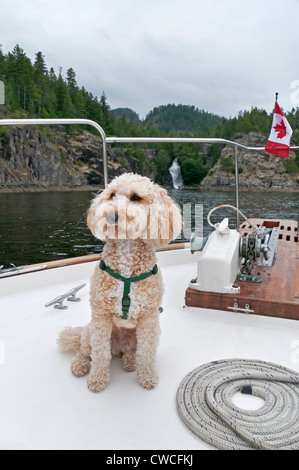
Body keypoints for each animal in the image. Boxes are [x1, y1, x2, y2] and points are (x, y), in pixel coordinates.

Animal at [56, 174, 183, 392]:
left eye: (136, 197)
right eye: (112, 195)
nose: (110, 216)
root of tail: (119, 348)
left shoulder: (149, 319)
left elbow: (146, 353)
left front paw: (147, 377)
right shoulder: (101, 317)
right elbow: (99, 354)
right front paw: (97, 380)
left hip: (142, 335)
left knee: (133, 351)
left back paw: (130, 361)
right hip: (89, 331)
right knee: (84, 349)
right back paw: (80, 364)